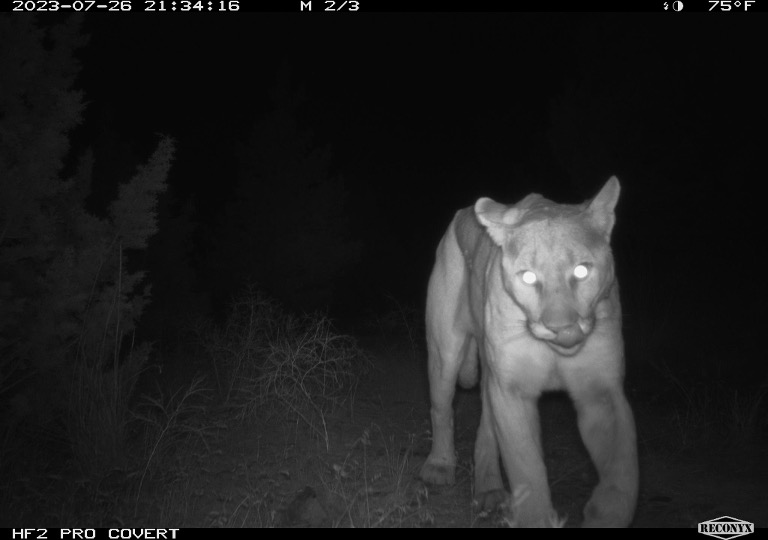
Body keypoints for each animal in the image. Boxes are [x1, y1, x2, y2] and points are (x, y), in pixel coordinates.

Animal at [419, 177, 638, 527]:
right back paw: (439, 466)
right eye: (529, 276)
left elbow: (623, 470)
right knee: (441, 407)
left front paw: (602, 511)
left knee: (486, 427)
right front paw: (535, 516)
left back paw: (490, 490)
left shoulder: (601, 391)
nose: (562, 328)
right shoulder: (513, 389)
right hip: (445, 351)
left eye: (582, 271)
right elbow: (527, 468)